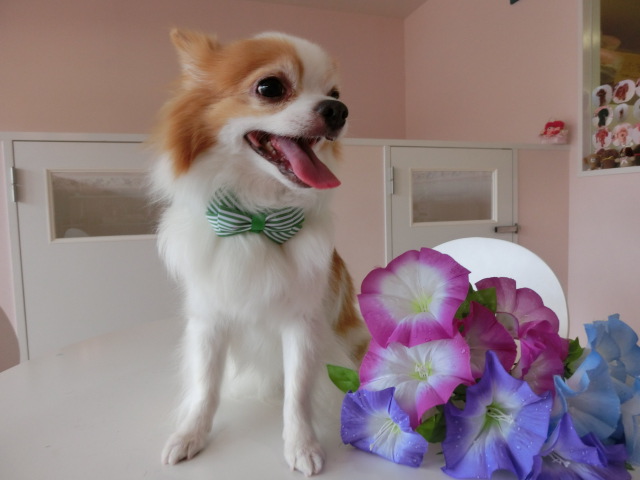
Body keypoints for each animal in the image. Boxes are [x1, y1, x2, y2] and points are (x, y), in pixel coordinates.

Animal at [151, 29, 369, 476]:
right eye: (270, 88)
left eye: (335, 93)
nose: (339, 110)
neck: (256, 218)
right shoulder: (209, 321)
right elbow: (205, 387)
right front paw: (190, 435)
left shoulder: (302, 324)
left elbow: (297, 393)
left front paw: (301, 445)